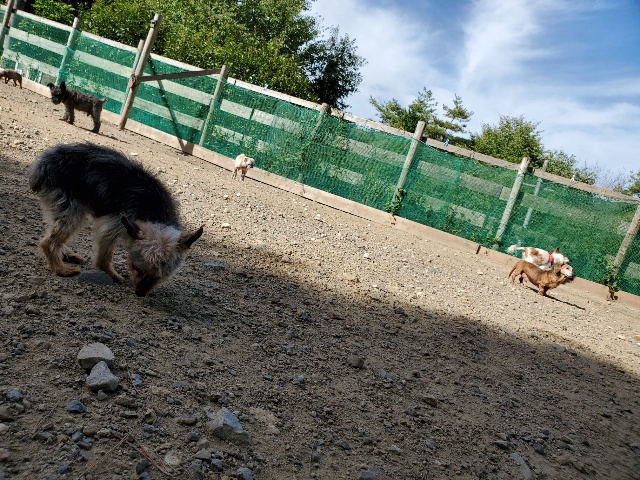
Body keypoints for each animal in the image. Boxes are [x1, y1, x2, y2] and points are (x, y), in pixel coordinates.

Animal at [29, 143, 203, 297]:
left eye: (161, 275)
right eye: (135, 267)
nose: (140, 293)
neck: (155, 213)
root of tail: (45, 160)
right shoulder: (114, 225)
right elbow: (104, 257)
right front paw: (111, 274)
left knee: (53, 231)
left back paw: (66, 254)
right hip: (72, 209)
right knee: (49, 242)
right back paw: (61, 269)